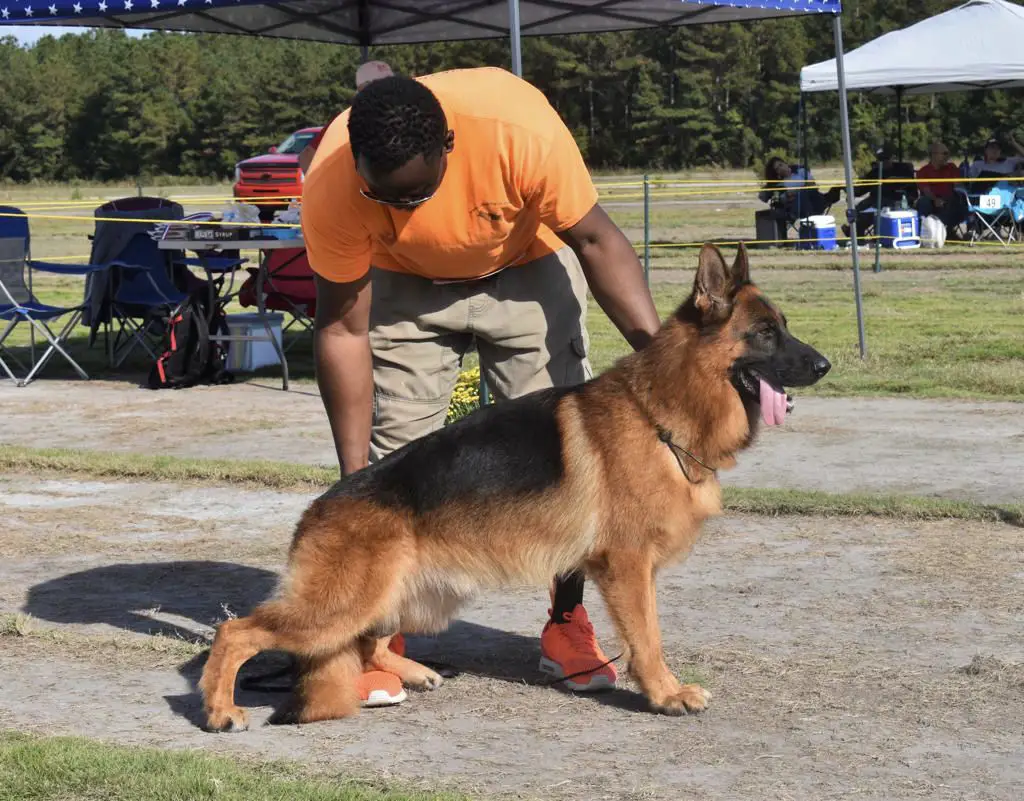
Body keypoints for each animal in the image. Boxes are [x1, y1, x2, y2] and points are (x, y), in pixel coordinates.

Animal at [199, 241, 831, 729]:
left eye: (785, 328)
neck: (661, 412)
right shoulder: (628, 568)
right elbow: (648, 638)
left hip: (411, 597)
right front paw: (666, 693)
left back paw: (411, 671)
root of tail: (319, 509)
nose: (826, 365)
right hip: (340, 606)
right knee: (235, 631)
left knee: (367, 641)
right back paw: (220, 710)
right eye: (766, 333)